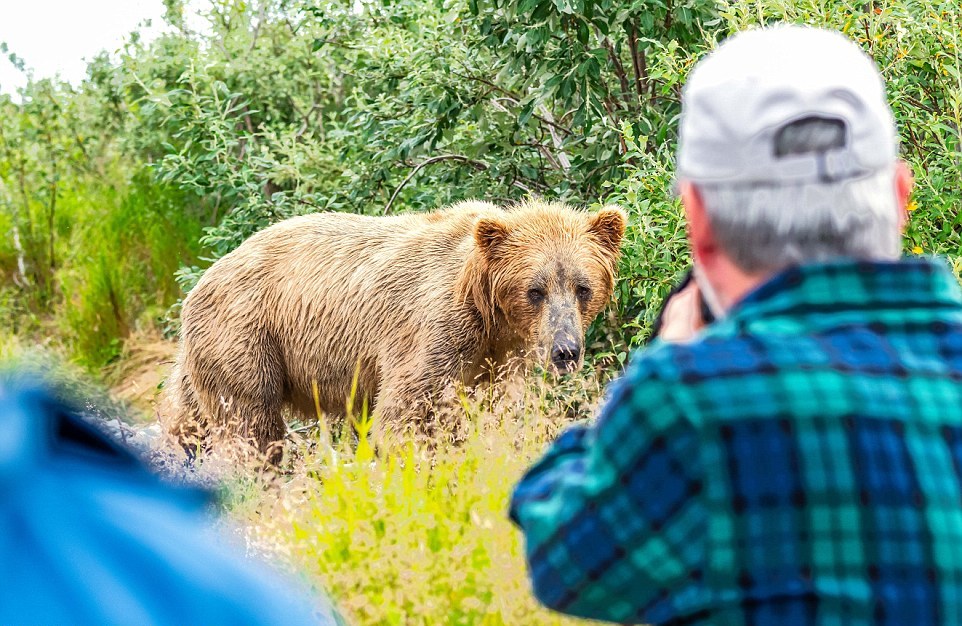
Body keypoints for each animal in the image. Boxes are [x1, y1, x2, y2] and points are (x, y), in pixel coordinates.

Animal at [163, 200, 632, 454]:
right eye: (535, 289)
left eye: (583, 287)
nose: (566, 350)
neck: (488, 313)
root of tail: (199, 282)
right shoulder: (435, 329)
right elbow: (407, 410)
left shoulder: (497, 356)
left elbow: (486, 408)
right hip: (247, 336)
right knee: (250, 426)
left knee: (189, 414)